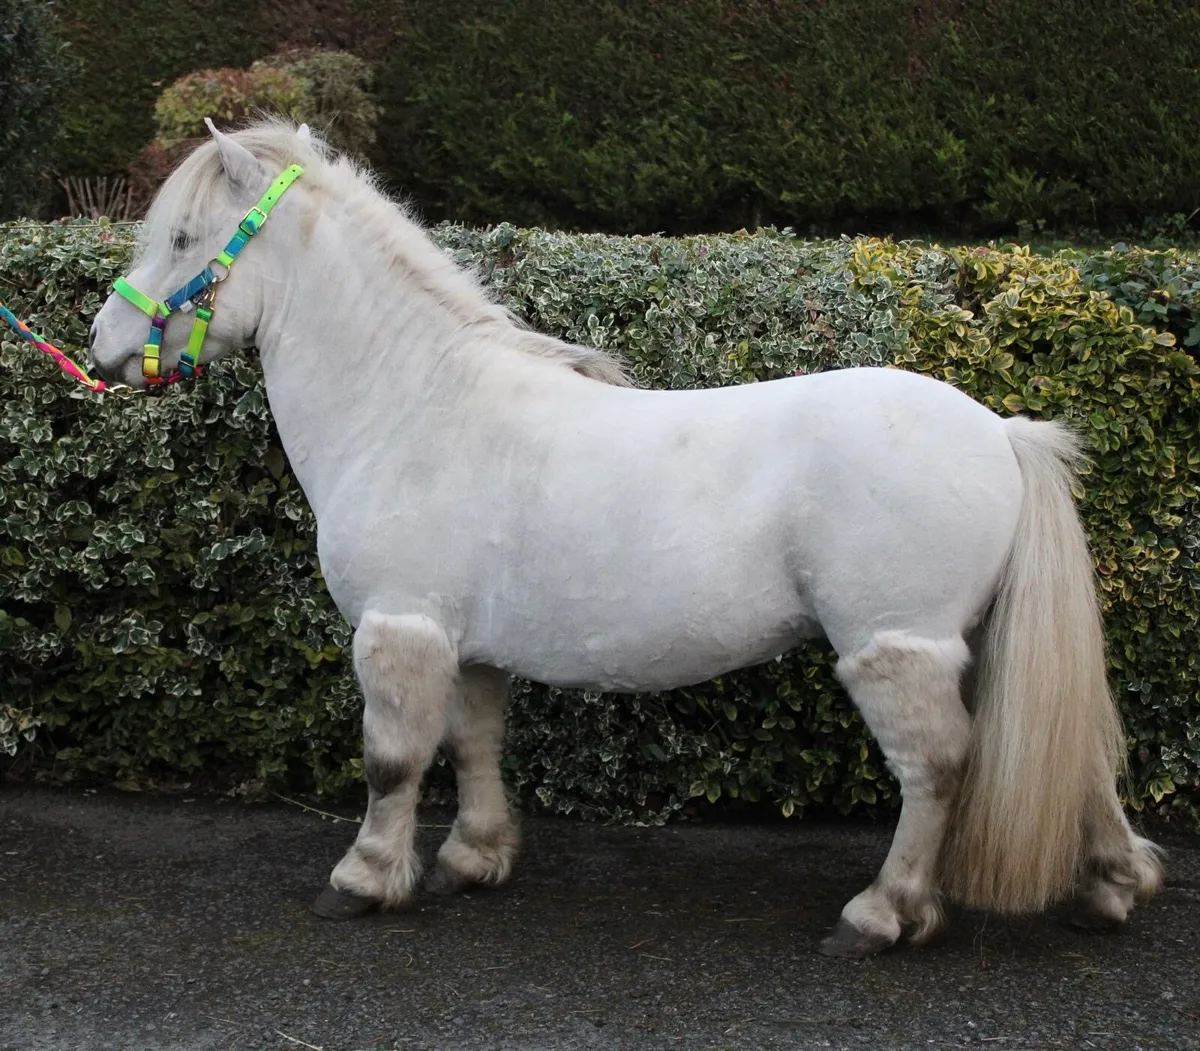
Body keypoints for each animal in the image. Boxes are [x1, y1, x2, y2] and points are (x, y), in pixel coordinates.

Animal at [88, 119, 1162, 958]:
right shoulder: (465, 644)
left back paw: (881, 915)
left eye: (182, 237)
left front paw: (363, 879)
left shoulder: (399, 631)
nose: (102, 347)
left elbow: (393, 760)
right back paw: (1112, 886)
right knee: (1076, 756)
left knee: (935, 770)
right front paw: (474, 859)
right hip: (975, 641)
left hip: (895, 650)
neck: (415, 406)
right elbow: (474, 742)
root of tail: (1001, 431)